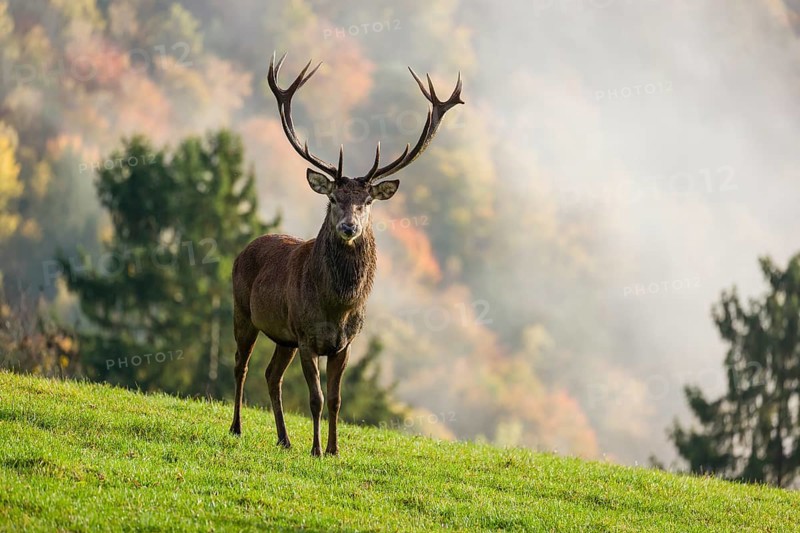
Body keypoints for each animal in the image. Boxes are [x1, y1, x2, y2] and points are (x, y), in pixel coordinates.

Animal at [229, 53, 463, 456]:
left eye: (367, 201)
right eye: (333, 198)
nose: (349, 227)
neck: (336, 307)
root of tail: (244, 249)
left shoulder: (345, 343)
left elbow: (337, 400)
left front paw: (335, 450)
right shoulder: (307, 337)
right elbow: (316, 399)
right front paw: (316, 449)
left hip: (283, 337)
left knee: (271, 375)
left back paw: (284, 438)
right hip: (243, 311)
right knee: (240, 366)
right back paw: (237, 428)